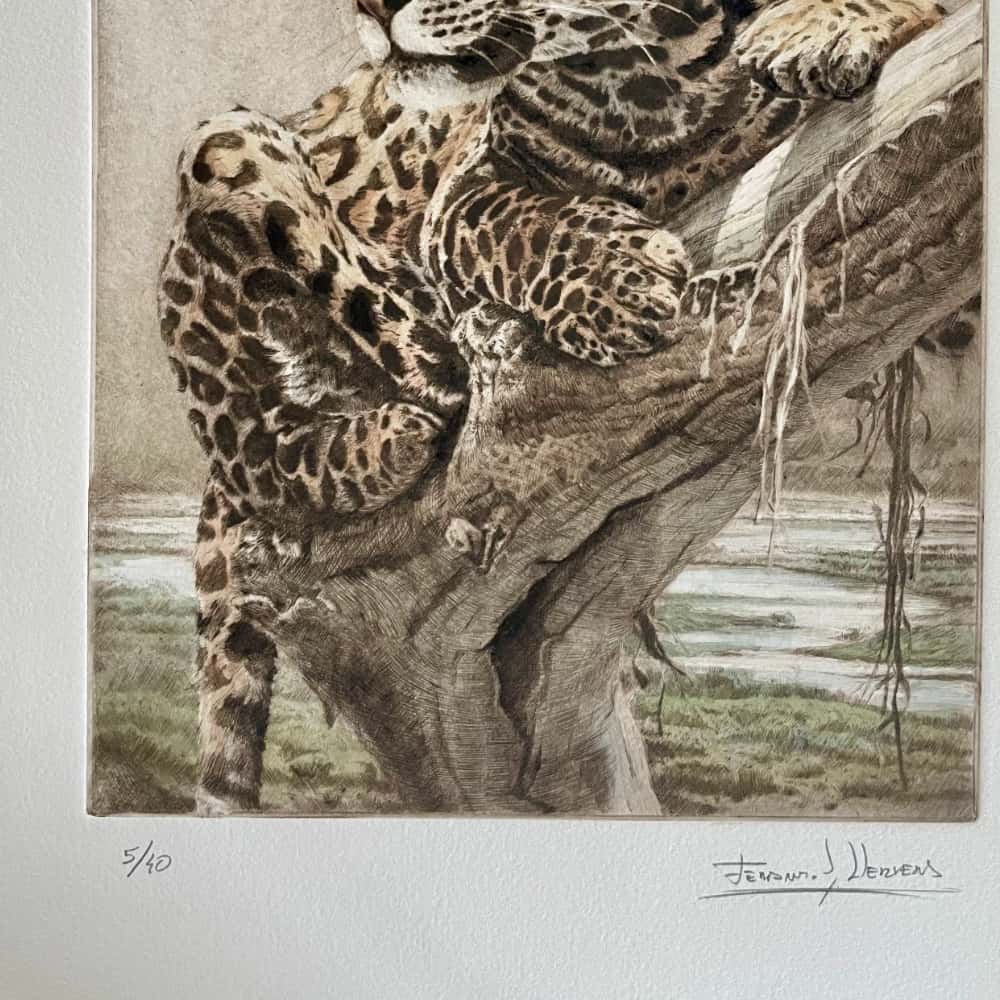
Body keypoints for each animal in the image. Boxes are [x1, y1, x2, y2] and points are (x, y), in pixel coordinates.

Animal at [157, 0, 942, 813]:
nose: (370, 10)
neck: (639, 82)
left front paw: (814, 28)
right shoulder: (469, 187)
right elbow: (506, 220)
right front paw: (614, 279)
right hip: (224, 146)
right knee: (263, 440)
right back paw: (414, 401)